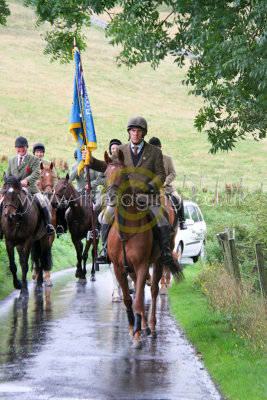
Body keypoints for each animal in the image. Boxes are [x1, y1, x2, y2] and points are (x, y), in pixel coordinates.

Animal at [103, 149, 183, 346]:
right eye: (104, 175)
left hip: (158, 261)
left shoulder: (141, 265)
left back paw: (151, 326)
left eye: (124, 175)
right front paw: (134, 328)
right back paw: (144, 325)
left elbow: (139, 300)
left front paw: (138, 335)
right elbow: (128, 300)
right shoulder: (119, 268)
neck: (126, 229)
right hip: (131, 269)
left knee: (153, 291)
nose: (111, 198)